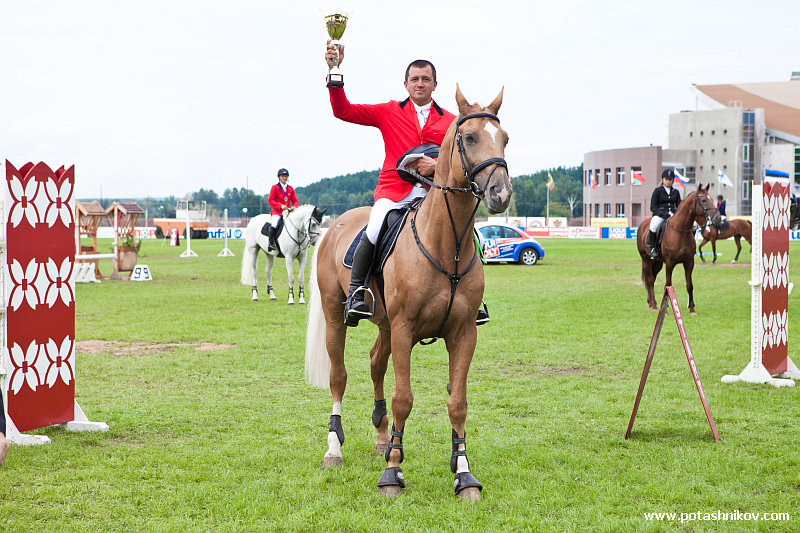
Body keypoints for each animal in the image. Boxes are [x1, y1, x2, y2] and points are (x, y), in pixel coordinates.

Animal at [304, 87, 511, 501]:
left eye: (505, 139)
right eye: (469, 138)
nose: (501, 193)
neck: (446, 243)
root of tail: (334, 226)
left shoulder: (464, 333)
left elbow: (457, 402)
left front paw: (463, 474)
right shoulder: (403, 331)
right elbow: (404, 399)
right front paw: (392, 474)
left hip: (384, 325)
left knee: (375, 363)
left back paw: (384, 438)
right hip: (338, 317)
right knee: (339, 375)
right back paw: (335, 448)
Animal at [636, 183, 720, 315]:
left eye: (711, 199)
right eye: (703, 200)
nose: (717, 218)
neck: (681, 232)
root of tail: (642, 225)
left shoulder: (689, 262)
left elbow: (689, 285)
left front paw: (692, 308)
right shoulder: (670, 263)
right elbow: (667, 284)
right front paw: (665, 309)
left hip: (658, 263)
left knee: (652, 279)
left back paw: (650, 302)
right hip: (646, 259)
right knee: (650, 279)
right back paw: (654, 305)